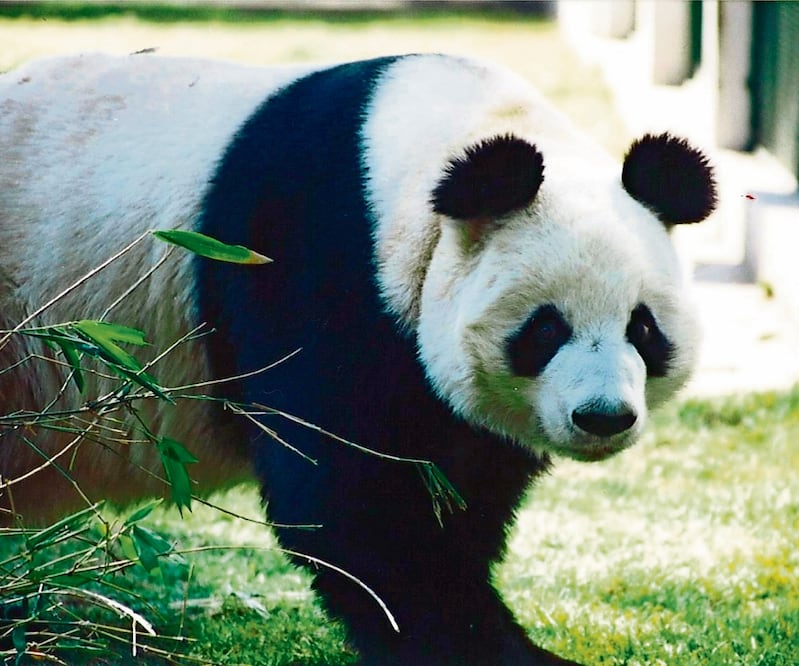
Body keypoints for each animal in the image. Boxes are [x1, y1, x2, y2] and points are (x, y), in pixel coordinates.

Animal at [0, 53, 716, 665]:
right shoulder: (310, 266)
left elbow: (455, 489)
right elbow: (352, 504)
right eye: (544, 329)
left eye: (643, 328)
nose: (603, 416)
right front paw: (491, 649)